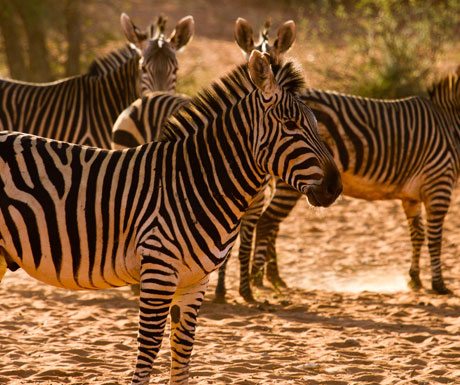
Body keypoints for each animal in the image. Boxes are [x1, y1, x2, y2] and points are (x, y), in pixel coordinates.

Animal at [0, 51, 342, 384]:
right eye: (290, 124)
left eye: (315, 124)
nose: (335, 187)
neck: (192, 182)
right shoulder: (159, 268)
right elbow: (150, 347)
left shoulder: (195, 279)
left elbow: (183, 350)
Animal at [246, 67, 460, 298]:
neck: (449, 122)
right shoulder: (439, 184)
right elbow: (435, 238)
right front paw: (439, 284)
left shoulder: (411, 197)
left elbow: (418, 234)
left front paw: (415, 279)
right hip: (293, 179)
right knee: (268, 222)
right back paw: (258, 279)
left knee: (273, 225)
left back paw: (275, 278)